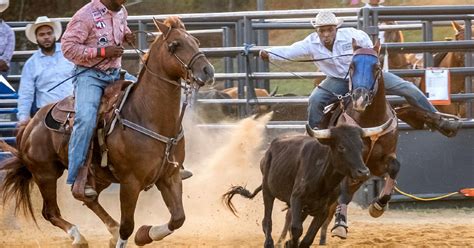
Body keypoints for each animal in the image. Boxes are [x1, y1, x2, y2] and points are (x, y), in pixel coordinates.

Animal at [0, 16, 215, 247]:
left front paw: (145, 234)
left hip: (97, 177)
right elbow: (127, 226)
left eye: (196, 41)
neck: (148, 116)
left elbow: (178, 218)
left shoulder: (170, 176)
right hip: (46, 173)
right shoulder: (130, 183)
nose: (208, 71)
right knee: (51, 212)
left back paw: (109, 229)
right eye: (174, 45)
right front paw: (131, 235)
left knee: (88, 199)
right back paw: (78, 237)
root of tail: (30, 124)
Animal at [278, 39, 400, 245]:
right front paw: (340, 224)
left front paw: (378, 205)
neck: (370, 120)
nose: (359, 98)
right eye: (351, 66)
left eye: (376, 67)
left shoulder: (378, 162)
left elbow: (394, 168)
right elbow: (343, 192)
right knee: (291, 215)